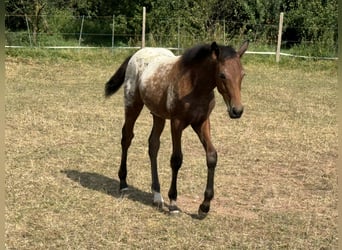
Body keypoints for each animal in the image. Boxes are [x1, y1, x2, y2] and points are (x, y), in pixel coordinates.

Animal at [104, 41, 248, 217]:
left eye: (243, 74)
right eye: (222, 75)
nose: (237, 110)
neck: (194, 85)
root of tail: (137, 53)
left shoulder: (202, 122)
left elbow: (212, 156)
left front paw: (204, 206)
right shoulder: (177, 123)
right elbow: (176, 159)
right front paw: (173, 202)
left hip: (158, 115)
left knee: (153, 145)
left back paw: (157, 196)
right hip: (132, 106)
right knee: (127, 137)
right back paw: (123, 183)